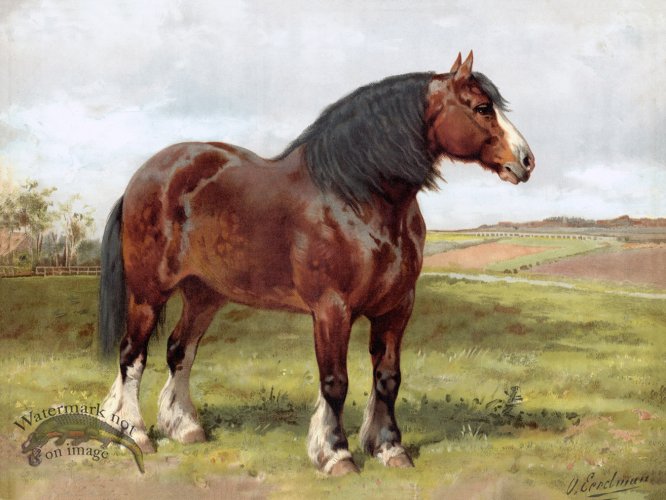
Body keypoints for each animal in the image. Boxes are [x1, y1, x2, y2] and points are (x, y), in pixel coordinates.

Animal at [98, 51, 534, 475]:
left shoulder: (396, 308)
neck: (356, 198)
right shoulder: (331, 309)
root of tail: (145, 177)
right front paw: (336, 454)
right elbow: (335, 382)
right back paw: (135, 433)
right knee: (132, 356)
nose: (526, 161)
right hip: (148, 294)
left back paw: (186, 428)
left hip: (204, 294)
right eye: (482, 108)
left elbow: (388, 379)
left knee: (179, 350)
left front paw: (390, 448)